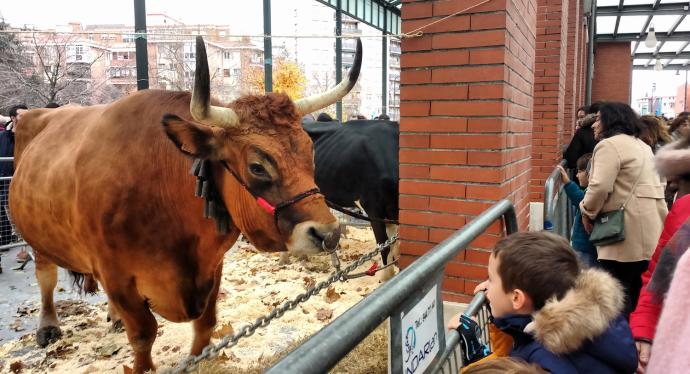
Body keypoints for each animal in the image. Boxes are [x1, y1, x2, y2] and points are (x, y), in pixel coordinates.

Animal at [10, 35, 362, 374]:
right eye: (257, 166)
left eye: (310, 150)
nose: (328, 233)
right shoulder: (116, 275)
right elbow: (143, 335)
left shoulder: (212, 265)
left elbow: (206, 324)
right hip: (37, 237)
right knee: (46, 276)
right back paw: (48, 326)